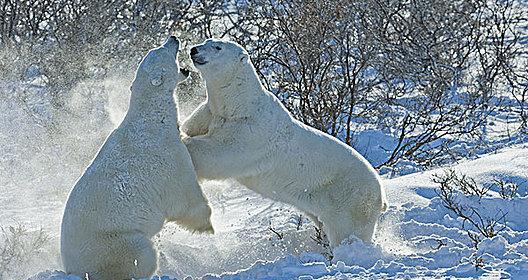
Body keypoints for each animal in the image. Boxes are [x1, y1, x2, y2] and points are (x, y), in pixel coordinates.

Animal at [59, 36, 212, 280]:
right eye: (162, 49)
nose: (173, 38)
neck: (150, 118)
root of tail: (71, 267)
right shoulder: (167, 158)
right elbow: (186, 197)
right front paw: (210, 229)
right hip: (115, 242)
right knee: (141, 253)